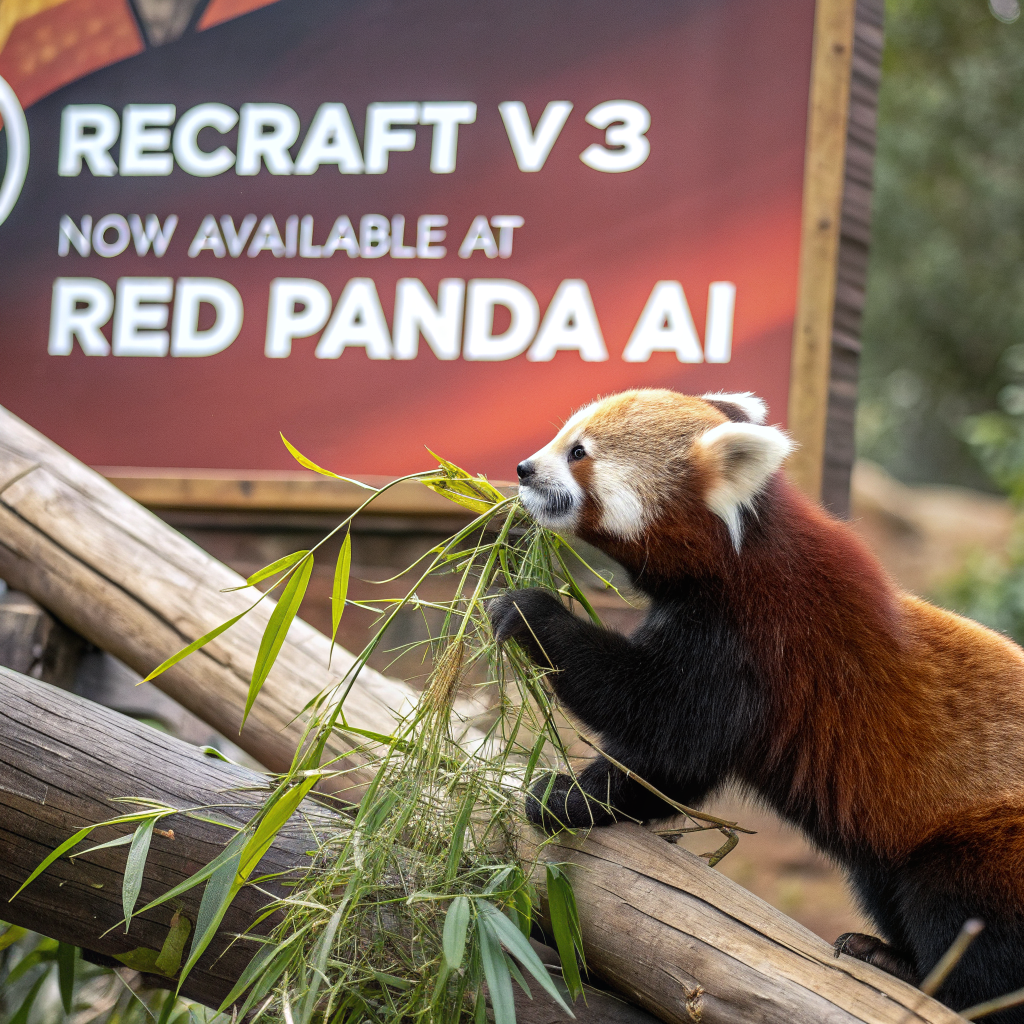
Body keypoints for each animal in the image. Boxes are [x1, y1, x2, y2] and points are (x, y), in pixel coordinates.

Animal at [489, 387, 1024, 1019]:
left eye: (578, 452)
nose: (523, 468)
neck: (740, 556)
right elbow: (668, 767)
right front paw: (578, 796)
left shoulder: (761, 645)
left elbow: (667, 725)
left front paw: (530, 614)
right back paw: (888, 955)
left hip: (988, 847)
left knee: (965, 924)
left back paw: (928, 981)